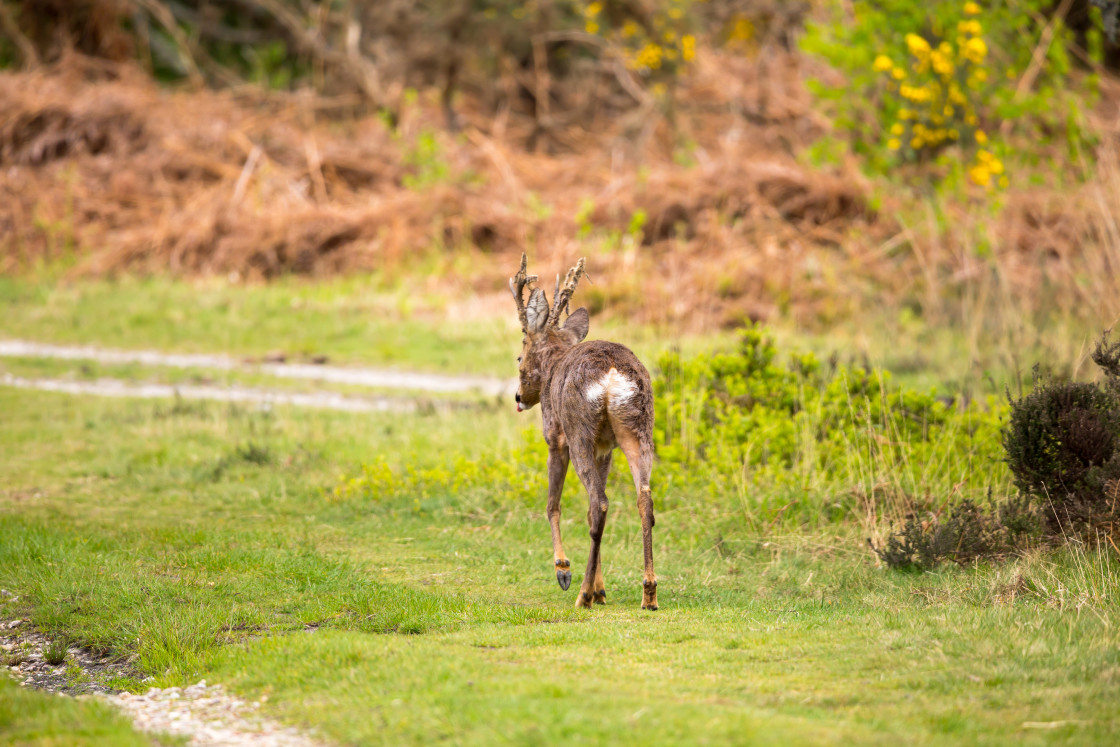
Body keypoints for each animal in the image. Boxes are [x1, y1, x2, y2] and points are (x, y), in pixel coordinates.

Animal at [508, 254, 654, 609]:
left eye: (519, 355)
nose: (518, 397)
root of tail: (613, 373)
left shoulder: (554, 437)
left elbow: (552, 504)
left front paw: (564, 570)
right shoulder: (606, 448)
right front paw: (602, 588)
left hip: (579, 432)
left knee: (599, 503)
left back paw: (582, 594)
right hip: (637, 430)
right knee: (642, 500)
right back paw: (649, 594)